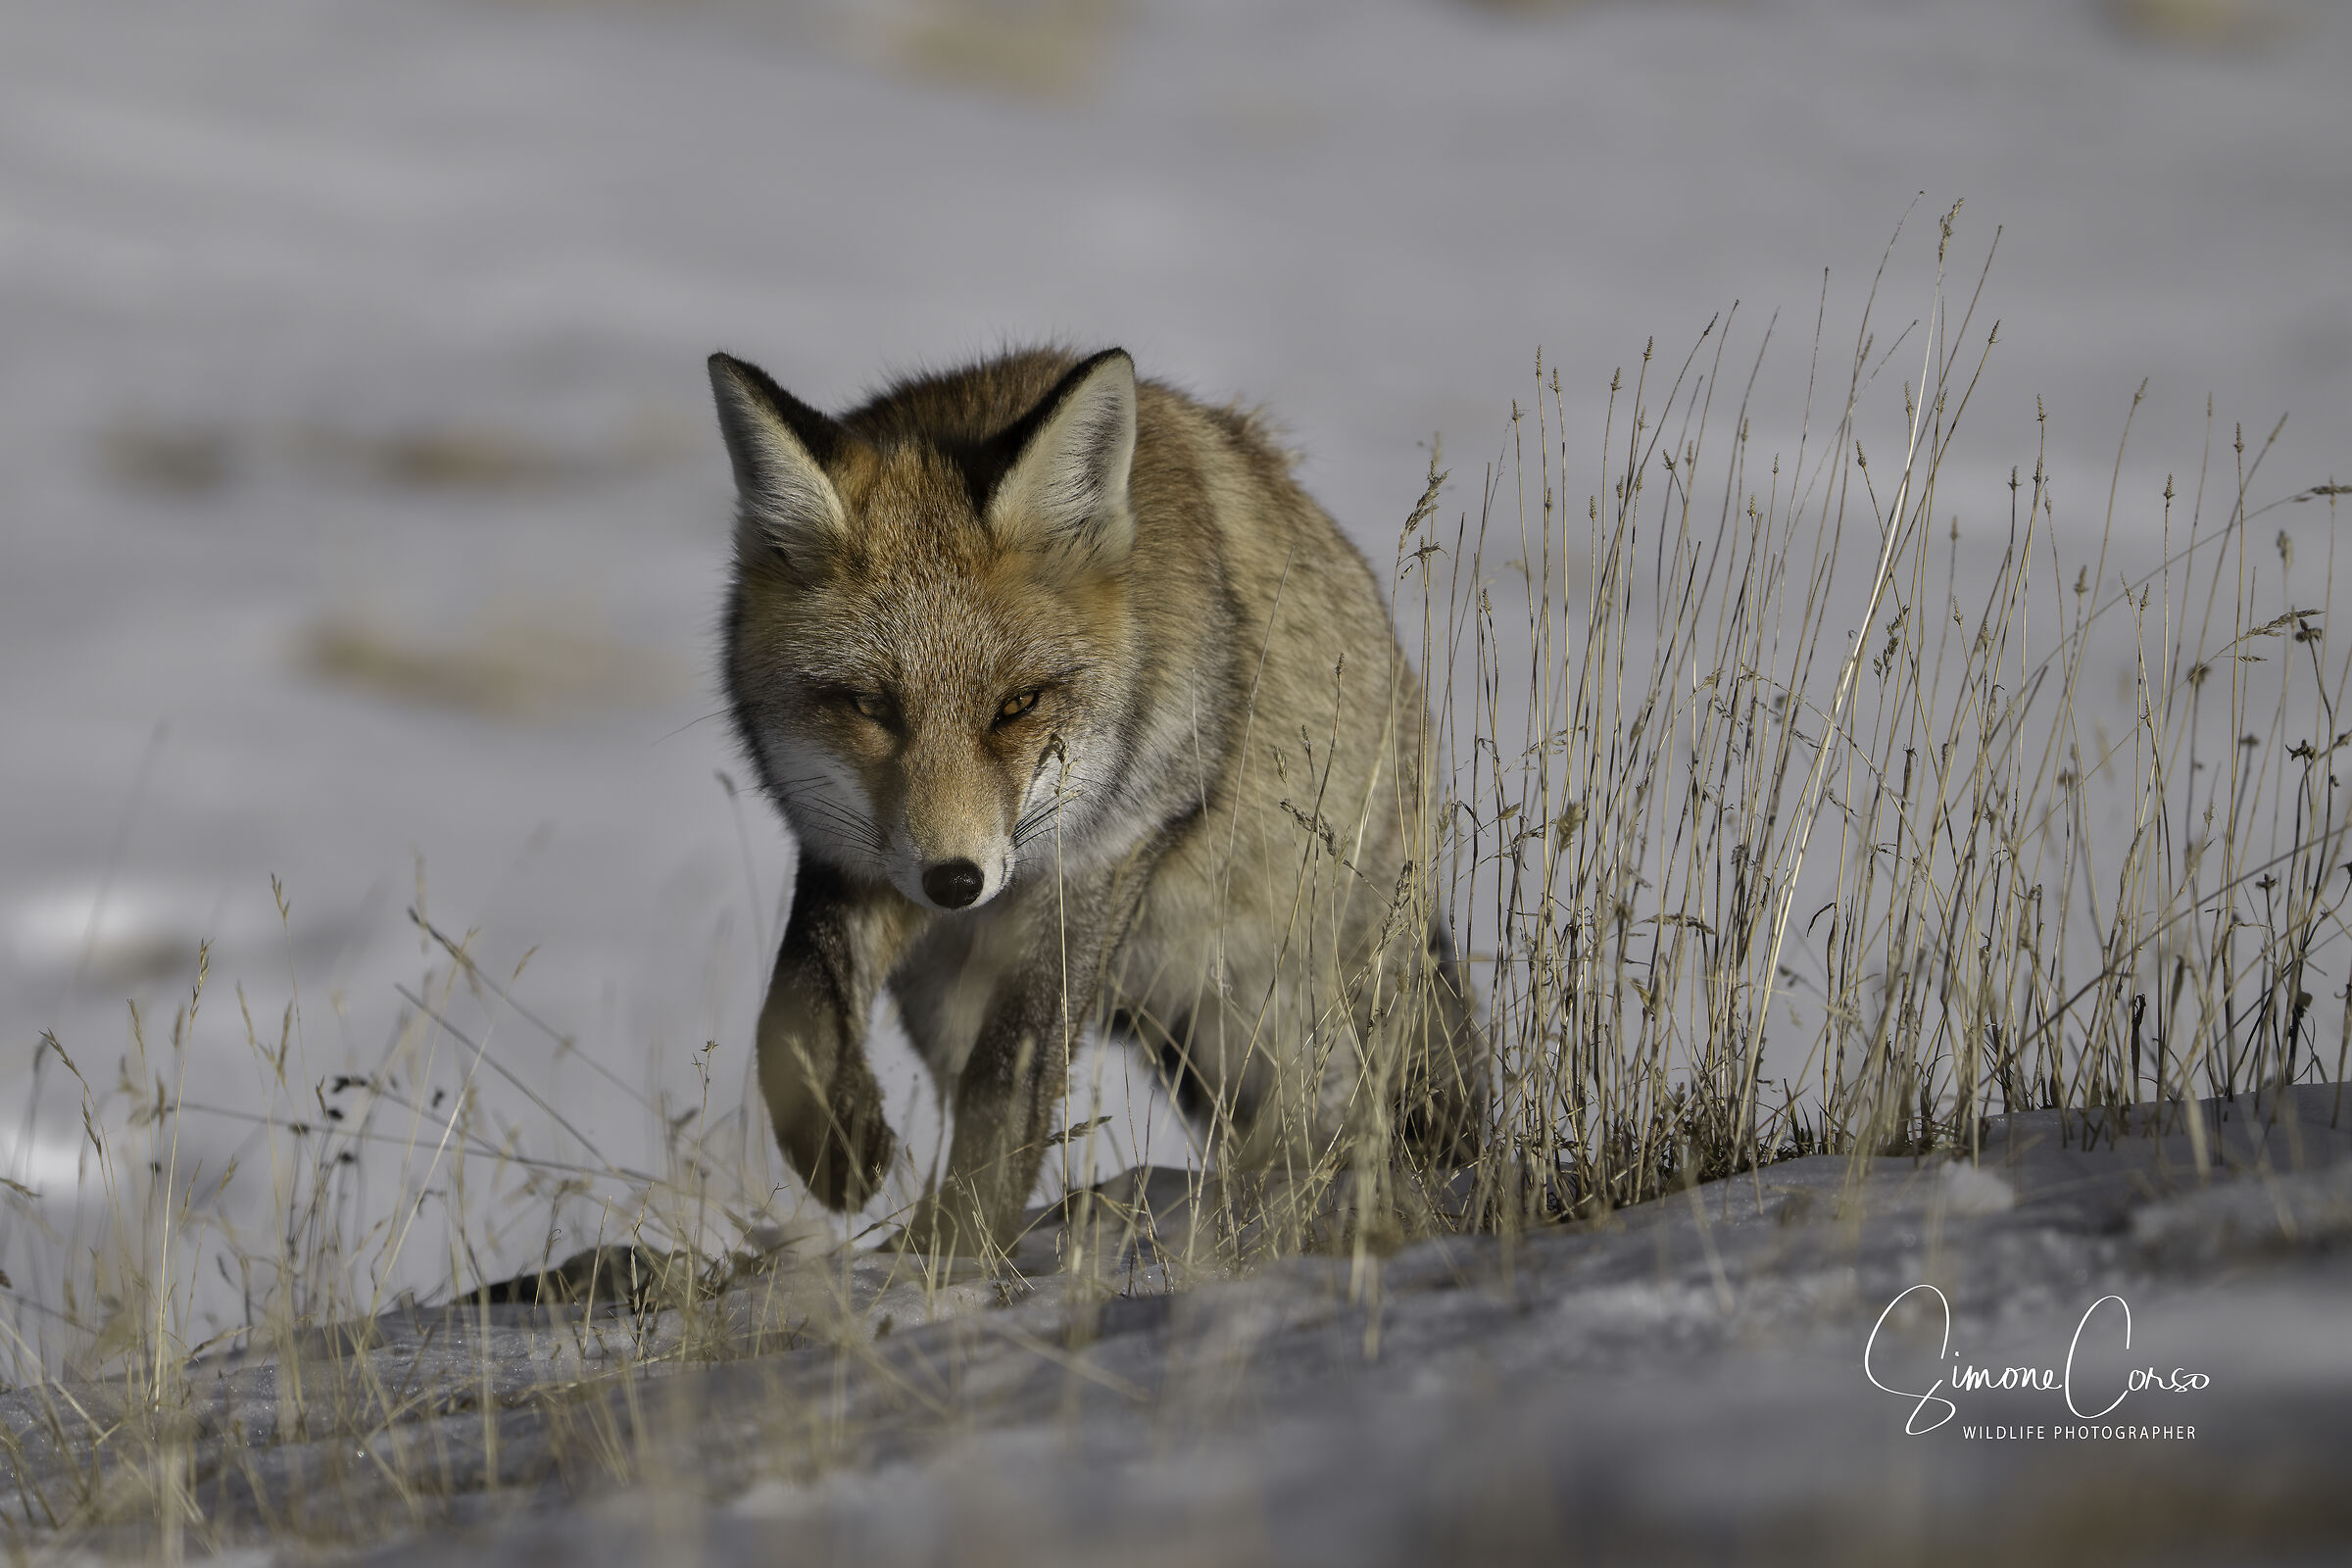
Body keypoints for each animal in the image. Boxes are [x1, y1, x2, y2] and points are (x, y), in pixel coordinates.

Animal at [710, 345, 1483, 1254]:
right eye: (870, 707)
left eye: (1017, 705)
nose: (955, 883)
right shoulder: (852, 851)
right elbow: (791, 1012)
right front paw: (838, 1142)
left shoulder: (1101, 858)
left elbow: (1010, 1072)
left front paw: (962, 1243)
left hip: (1309, 998)